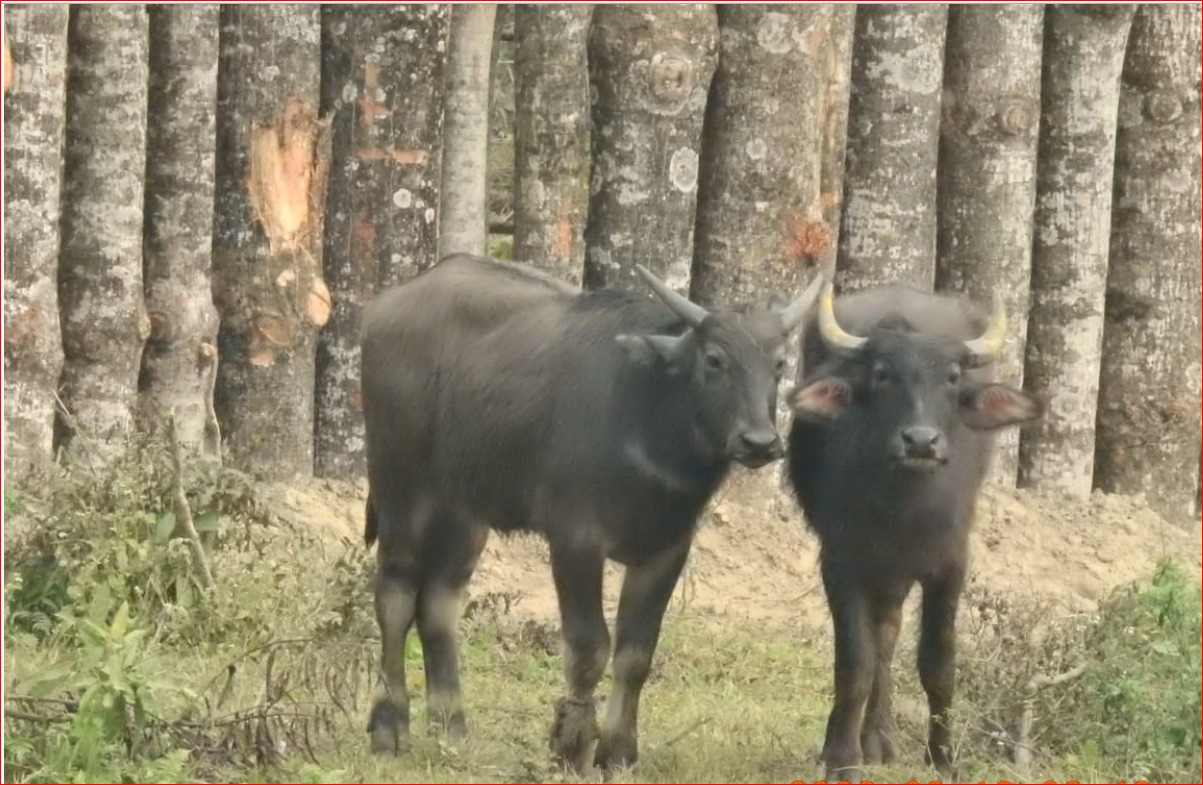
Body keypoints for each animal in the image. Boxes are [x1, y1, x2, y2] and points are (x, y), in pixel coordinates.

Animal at [359, 253, 822, 771]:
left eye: (778, 364)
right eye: (715, 359)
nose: (760, 442)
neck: (648, 423)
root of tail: (386, 307)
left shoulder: (667, 549)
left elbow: (636, 653)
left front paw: (618, 750)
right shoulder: (575, 540)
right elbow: (588, 647)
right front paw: (571, 743)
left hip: (464, 515)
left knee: (438, 603)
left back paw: (452, 729)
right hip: (401, 490)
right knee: (395, 595)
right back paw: (388, 726)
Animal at [786, 283, 1043, 782]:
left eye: (952, 377)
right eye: (883, 374)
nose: (921, 441)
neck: (904, 512)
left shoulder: (949, 565)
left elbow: (938, 664)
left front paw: (943, 758)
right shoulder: (841, 563)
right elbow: (854, 662)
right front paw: (841, 757)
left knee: (888, 636)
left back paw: (880, 740)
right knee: (877, 643)